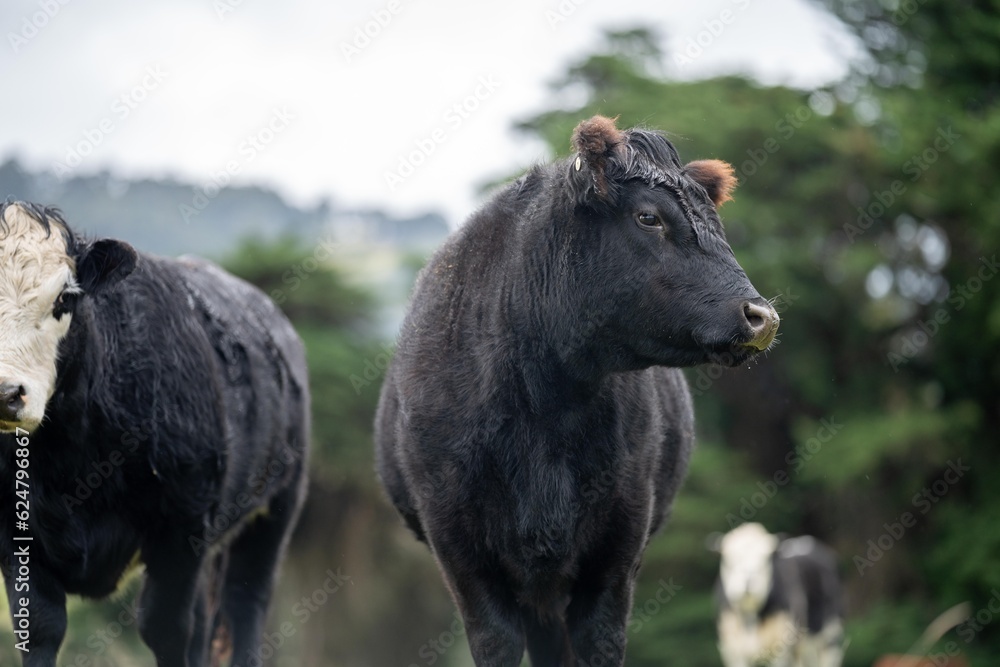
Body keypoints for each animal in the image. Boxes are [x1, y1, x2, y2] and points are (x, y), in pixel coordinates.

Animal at [0, 202, 310, 667]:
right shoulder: (12, 533)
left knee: (243, 605)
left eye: (65, 298)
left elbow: (165, 628)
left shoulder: (182, 525)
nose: (5, 392)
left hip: (276, 508)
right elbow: (39, 627)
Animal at [376, 116, 780, 667]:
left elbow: (599, 640)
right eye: (648, 217)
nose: (762, 316)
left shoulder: (620, 542)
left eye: (714, 221)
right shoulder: (458, 546)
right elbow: (496, 641)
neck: (543, 405)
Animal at [712, 524, 844, 667]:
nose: (748, 581)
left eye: (766, 560)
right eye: (730, 560)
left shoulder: (780, 652)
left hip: (830, 637)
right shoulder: (733, 653)